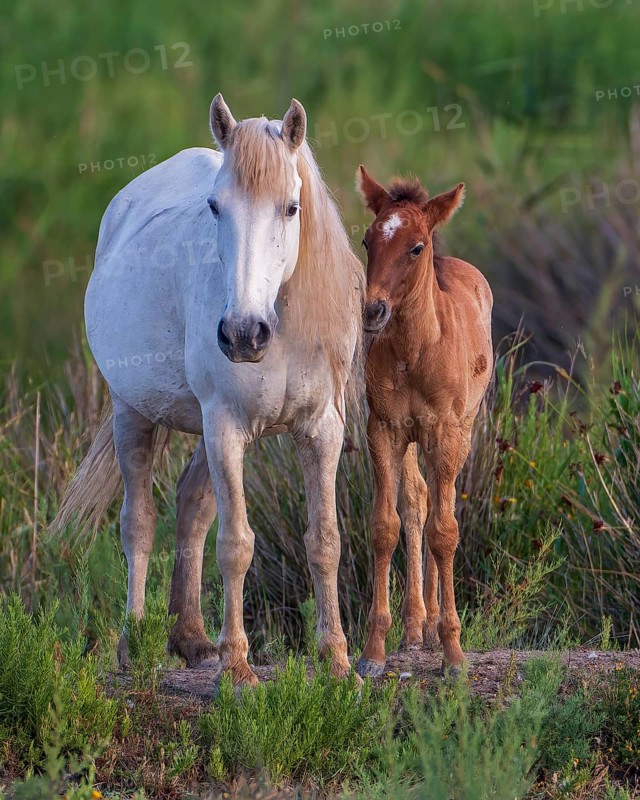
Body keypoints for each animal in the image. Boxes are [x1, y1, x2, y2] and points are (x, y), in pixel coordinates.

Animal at [53, 95, 365, 687]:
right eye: (216, 208)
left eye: (292, 207)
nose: (243, 334)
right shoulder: (226, 427)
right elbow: (235, 545)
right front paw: (238, 669)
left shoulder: (321, 431)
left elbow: (325, 541)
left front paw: (337, 662)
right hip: (133, 413)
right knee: (139, 522)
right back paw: (134, 643)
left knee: (191, 508)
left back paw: (192, 639)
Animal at [353, 166, 493, 677]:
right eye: (367, 240)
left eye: (416, 247)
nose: (373, 310)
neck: (415, 354)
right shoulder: (384, 430)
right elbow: (385, 526)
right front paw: (373, 651)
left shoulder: (446, 432)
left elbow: (445, 531)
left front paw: (453, 653)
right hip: (414, 440)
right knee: (418, 500)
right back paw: (417, 625)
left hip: (459, 431)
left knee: (437, 505)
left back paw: (433, 627)